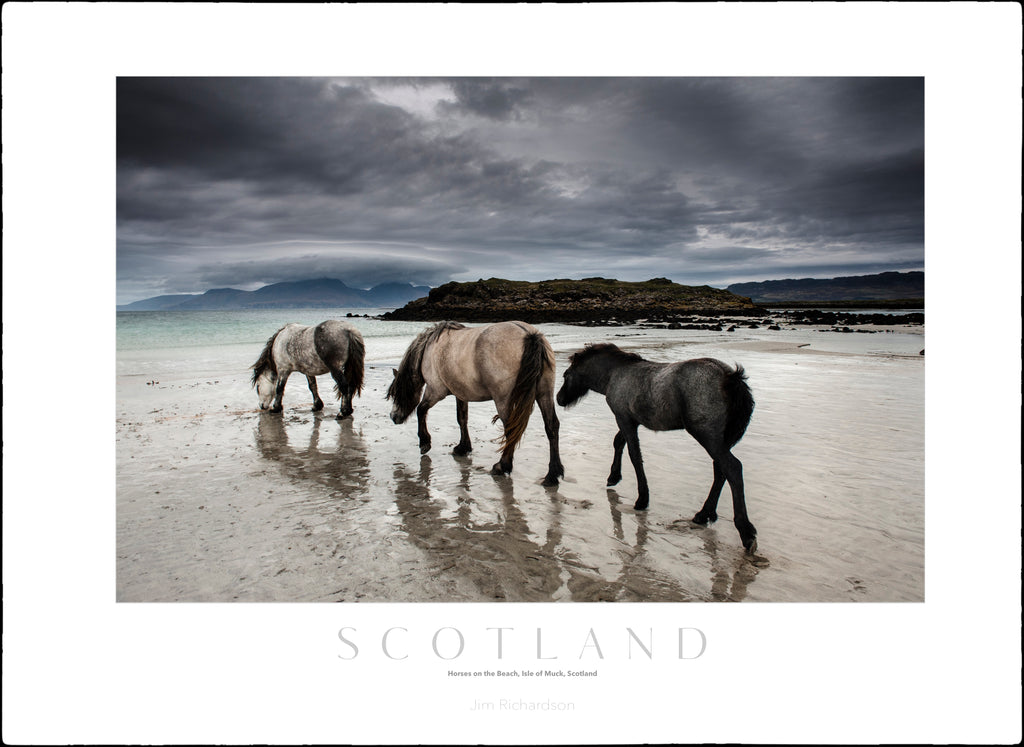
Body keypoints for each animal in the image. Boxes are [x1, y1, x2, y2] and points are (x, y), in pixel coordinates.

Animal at [385, 321, 565, 485]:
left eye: (395, 393)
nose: (393, 416)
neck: (428, 350)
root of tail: (529, 334)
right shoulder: (460, 393)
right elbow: (462, 419)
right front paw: (463, 447)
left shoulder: (435, 390)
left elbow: (421, 410)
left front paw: (424, 442)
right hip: (544, 394)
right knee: (551, 427)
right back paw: (552, 474)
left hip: (503, 400)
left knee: (511, 429)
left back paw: (502, 466)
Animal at [557, 344, 757, 553]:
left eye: (566, 375)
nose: (559, 399)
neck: (614, 374)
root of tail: (729, 376)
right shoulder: (630, 420)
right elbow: (619, 442)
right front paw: (614, 476)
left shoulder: (623, 418)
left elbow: (634, 455)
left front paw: (642, 498)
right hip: (721, 439)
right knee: (720, 470)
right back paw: (704, 514)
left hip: (707, 435)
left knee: (732, 468)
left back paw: (746, 532)